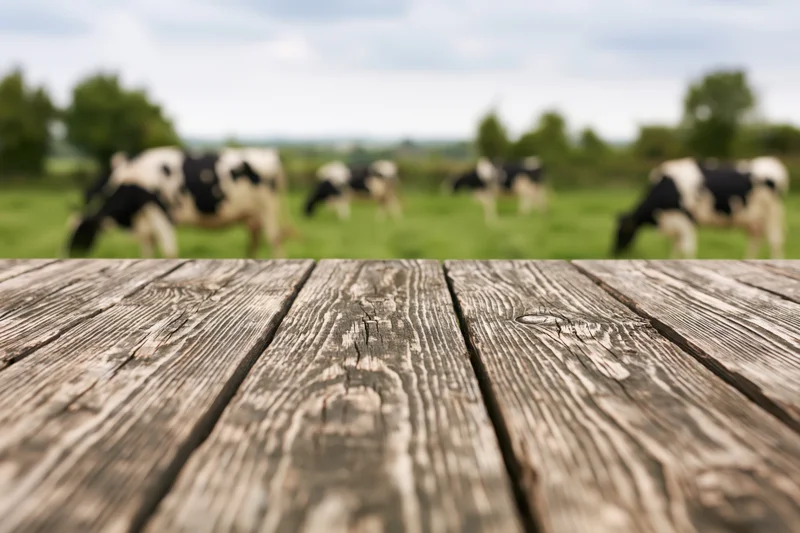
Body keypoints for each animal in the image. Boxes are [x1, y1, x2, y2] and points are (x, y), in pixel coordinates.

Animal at [66, 146, 291, 259]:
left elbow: (169, 252)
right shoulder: (145, 223)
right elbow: (146, 252)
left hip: (268, 208)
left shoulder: (162, 214)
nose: (69, 253)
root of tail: (269, 152)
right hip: (252, 213)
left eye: (82, 232)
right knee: (255, 239)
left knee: (275, 239)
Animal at [613, 156, 790, 259]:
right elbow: (675, 247)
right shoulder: (675, 222)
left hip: (774, 213)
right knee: (755, 240)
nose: (614, 252)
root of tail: (772, 161)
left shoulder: (686, 220)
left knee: (775, 241)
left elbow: (687, 249)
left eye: (622, 232)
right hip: (754, 219)